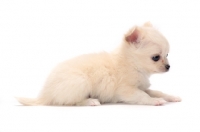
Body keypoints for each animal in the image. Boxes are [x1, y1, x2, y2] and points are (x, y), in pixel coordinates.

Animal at [16, 22, 181, 105]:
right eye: (156, 57)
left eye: (167, 55)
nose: (168, 67)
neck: (131, 63)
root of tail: (45, 94)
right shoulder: (127, 90)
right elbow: (142, 96)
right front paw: (155, 101)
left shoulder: (141, 86)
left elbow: (156, 91)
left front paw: (170, 97)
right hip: (80, 82)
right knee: (69, 102)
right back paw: (90, 101)